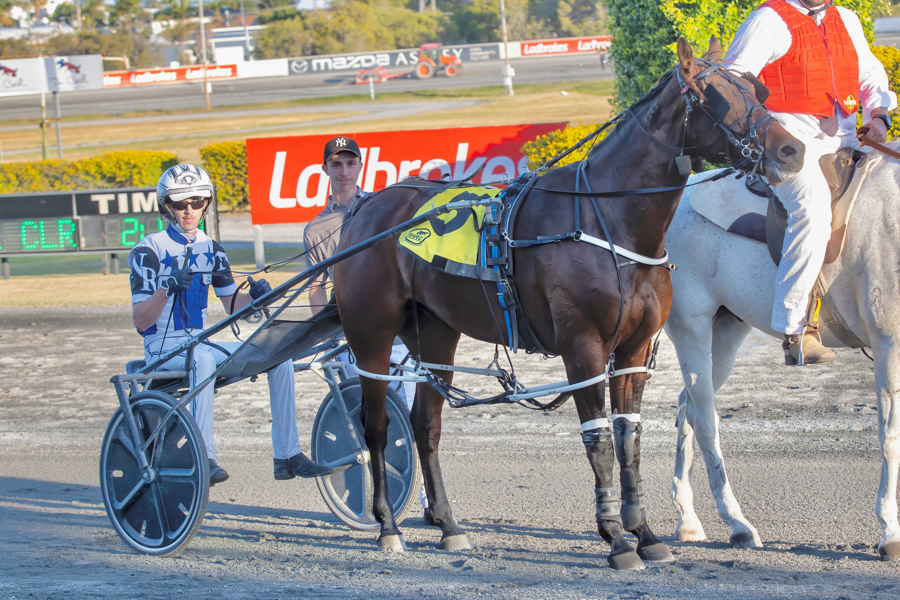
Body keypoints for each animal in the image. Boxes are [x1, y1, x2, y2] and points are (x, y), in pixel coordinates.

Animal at [332, 38, 804, 570]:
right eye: (715, 96)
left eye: (758, 89)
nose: (792, 149)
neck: (609, 220)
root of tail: (364, 207)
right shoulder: (584, 349)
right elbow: (598, 441)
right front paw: (616, 538)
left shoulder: (633, 352)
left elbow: (628, 438)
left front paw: (645, 533)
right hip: (371, 337)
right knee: (375, 426)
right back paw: (388, 527)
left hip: (436, 334)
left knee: (425, 425)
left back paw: (450, 527)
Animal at [665, 151, 900, 562]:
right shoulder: (889, 344)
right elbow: (890, 438)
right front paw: (889, 532)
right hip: (690, 328)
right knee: (706, 420)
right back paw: (738, 524)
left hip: (725, 332)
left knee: (687, 408)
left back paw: (688, 520)